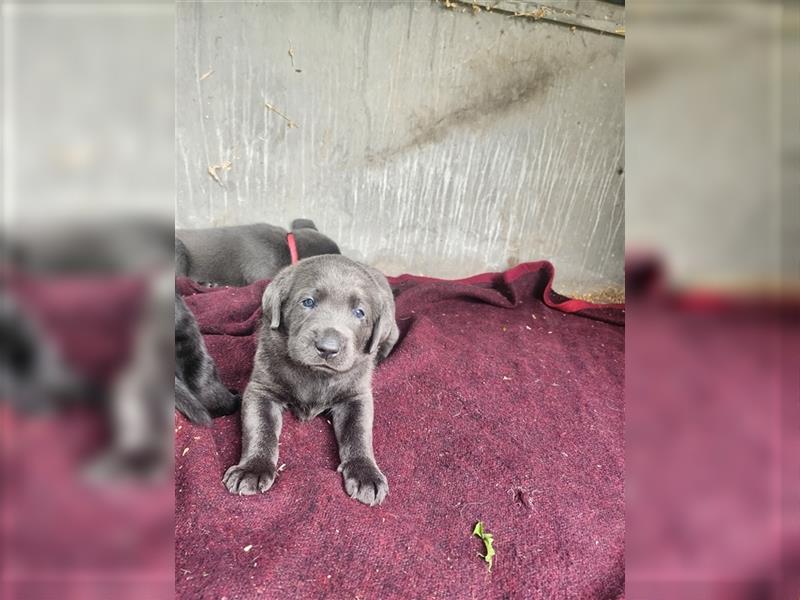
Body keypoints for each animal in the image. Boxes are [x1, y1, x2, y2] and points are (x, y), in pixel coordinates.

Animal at [223, 254, 398, 506]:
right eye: (307, 302)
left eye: (360, 313)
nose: (328, 348)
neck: (316, 373)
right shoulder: (261, 388)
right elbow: (260, 427)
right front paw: (252, 469)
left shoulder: (356, 395)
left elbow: (359, 432)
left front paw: (366, 473)